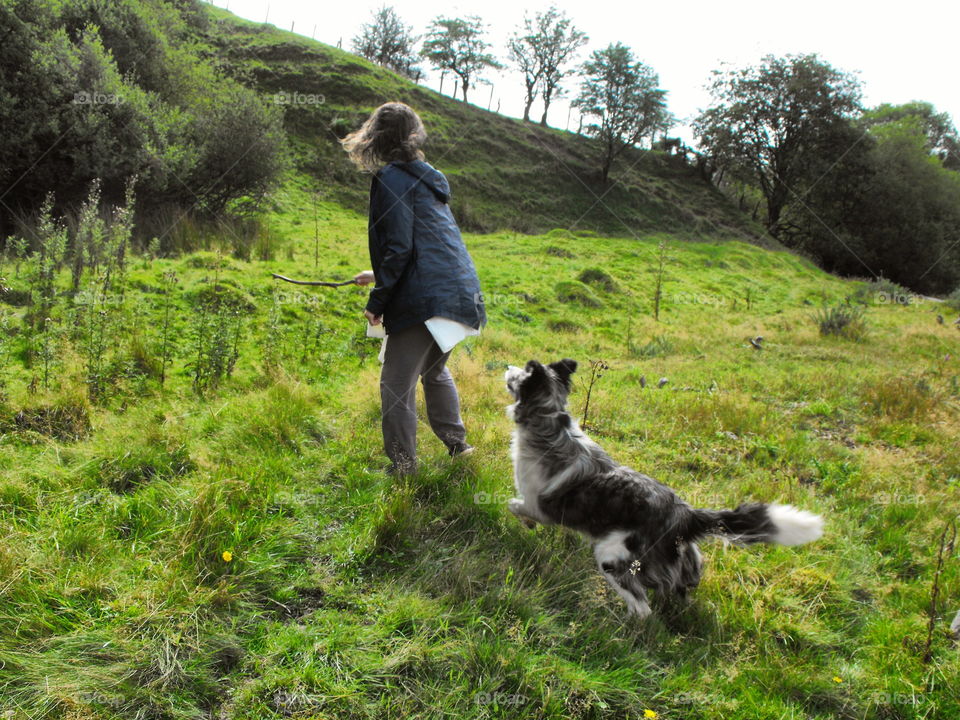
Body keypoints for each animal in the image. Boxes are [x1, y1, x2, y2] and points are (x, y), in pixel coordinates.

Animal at [502, 360, 824, 620]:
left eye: (523, 370)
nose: (506, 366)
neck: (549, 419)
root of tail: (685, 514)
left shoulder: (537, 503)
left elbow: (513, 506)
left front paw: (526, 523)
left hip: (612, 558)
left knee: (642, 608)